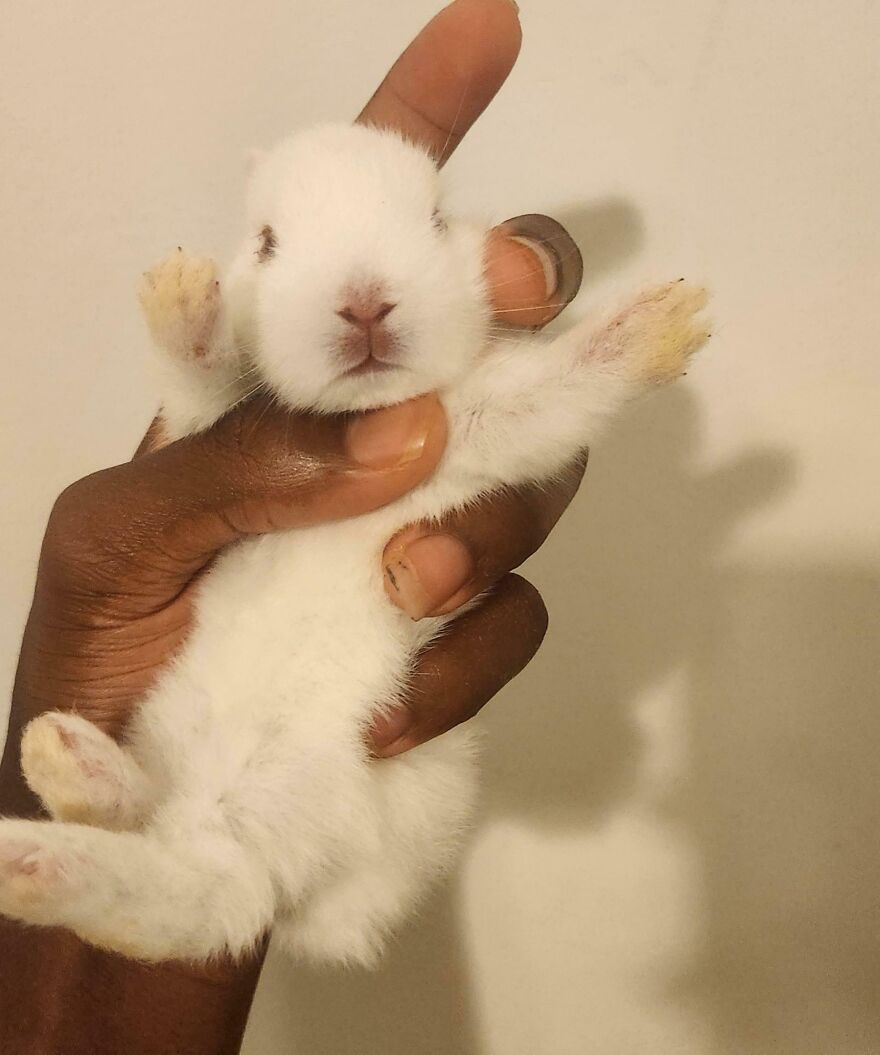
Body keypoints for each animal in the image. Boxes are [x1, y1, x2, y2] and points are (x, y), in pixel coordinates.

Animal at [0, 121, 704, 966]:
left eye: (436, 220)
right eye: (267, 241)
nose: (364, 304)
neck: (364, 409)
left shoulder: (490, 423)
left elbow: (558, 388)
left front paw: (669, 318)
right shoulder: (205, 420)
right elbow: (204, 379)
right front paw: (179, 292)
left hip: (287, 805)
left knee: (191, 893)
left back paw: (49, 805)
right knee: (179, 874)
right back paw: (55, 790)